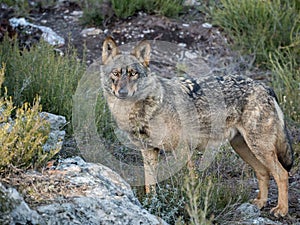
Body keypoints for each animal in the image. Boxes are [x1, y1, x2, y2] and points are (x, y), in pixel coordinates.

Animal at [101, 37, 292, 218]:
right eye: (115, 74)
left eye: (133, 74)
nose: (122, 93)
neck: (146, 110)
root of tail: (265, 87)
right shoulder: (148, 152)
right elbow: (150, 185)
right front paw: (151, 206)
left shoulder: (183, 150)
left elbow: (191, 182)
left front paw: (195, 206)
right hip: (243, 148)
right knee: (264, 172)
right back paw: (260, 203)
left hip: (258, 147)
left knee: (282, 174)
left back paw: (281, 210)